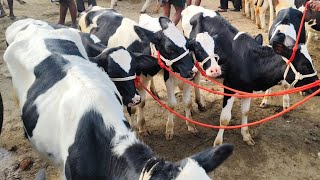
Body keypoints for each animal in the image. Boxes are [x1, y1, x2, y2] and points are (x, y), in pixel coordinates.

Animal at [79, 6, 198, 139]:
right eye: (169, 48)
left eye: (187, 44)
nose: (192, 70)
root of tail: (92, 8)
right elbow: (132, 108)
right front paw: (135, 129)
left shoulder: (144, 80)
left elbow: (142, 103)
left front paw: (142, 127)